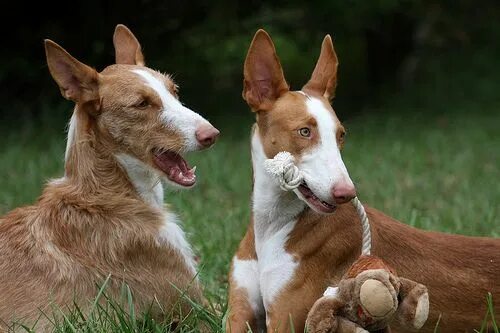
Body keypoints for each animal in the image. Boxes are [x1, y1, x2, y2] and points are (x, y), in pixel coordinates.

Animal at [228, 29, 500, 332]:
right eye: (304, 131)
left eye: (341, 135)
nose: (346, 192)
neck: (272, 225)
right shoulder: (239, 312)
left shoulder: (284, 320)